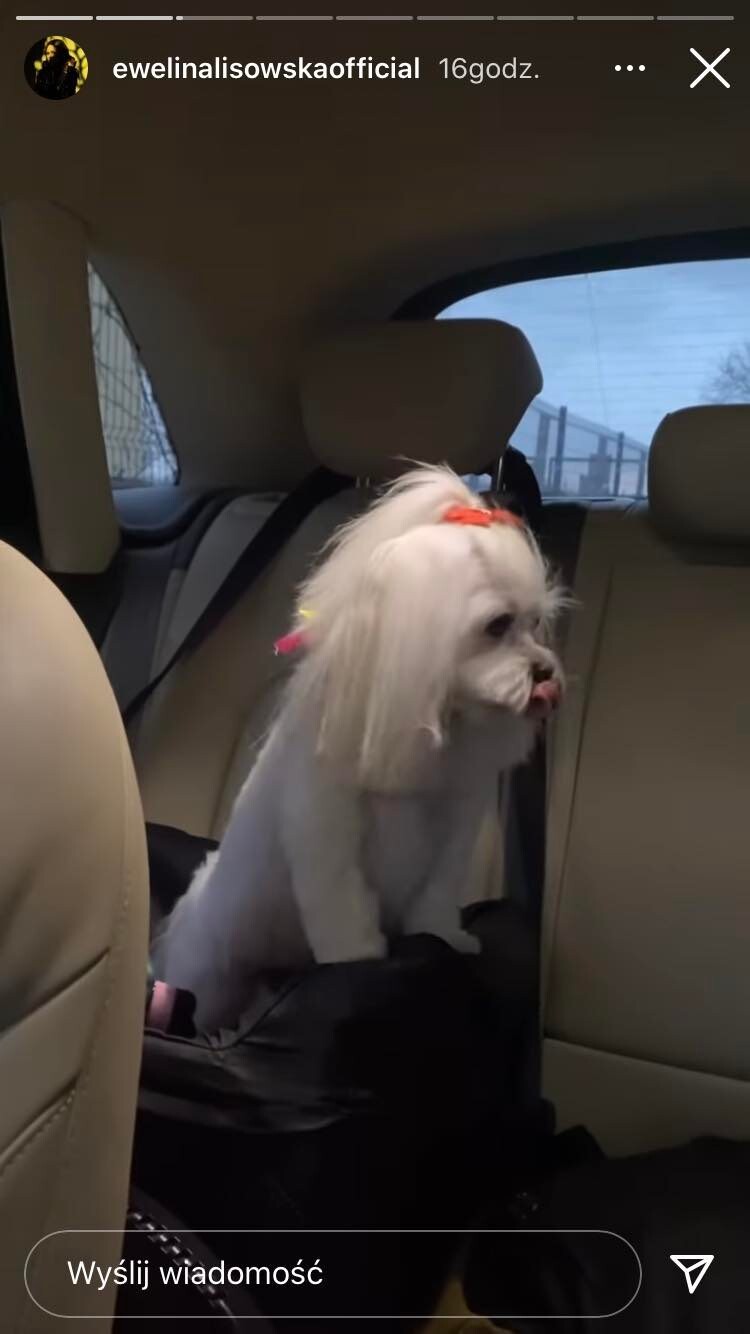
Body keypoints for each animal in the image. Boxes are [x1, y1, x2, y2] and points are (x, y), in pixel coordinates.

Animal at [155, 465, 564, 1030]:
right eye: (497, 624)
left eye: (536, 622)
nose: (545, 673)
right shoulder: (328, 837)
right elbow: (344, 909)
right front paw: (358, 961)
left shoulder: (453, 833)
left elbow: (435, 899)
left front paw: (445, 938)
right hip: (210, 975)